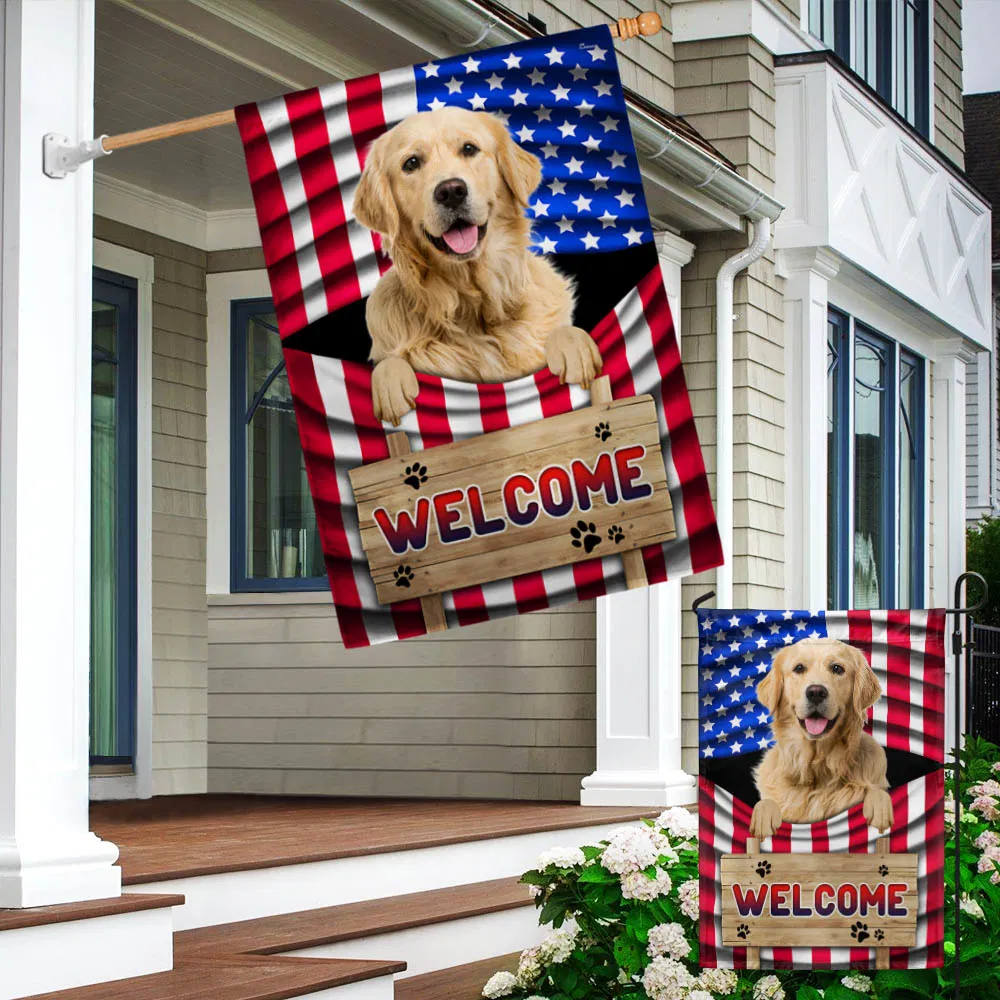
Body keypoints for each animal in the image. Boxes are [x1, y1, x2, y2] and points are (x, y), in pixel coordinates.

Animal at [352, 106, 600, 426]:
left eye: (469, 149)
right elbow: (391, 361)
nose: (451, 191)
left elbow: (561, 331)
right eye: (411, 163)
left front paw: (574, 346)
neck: (474, 307)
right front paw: (390, 383)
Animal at [748, 636, 896, 840]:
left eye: (837, 668)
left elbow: (875, 791)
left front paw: (879, 807)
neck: (817, 768)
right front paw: (764, 816)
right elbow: (766, 802)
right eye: (799, 668)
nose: (816, 692)